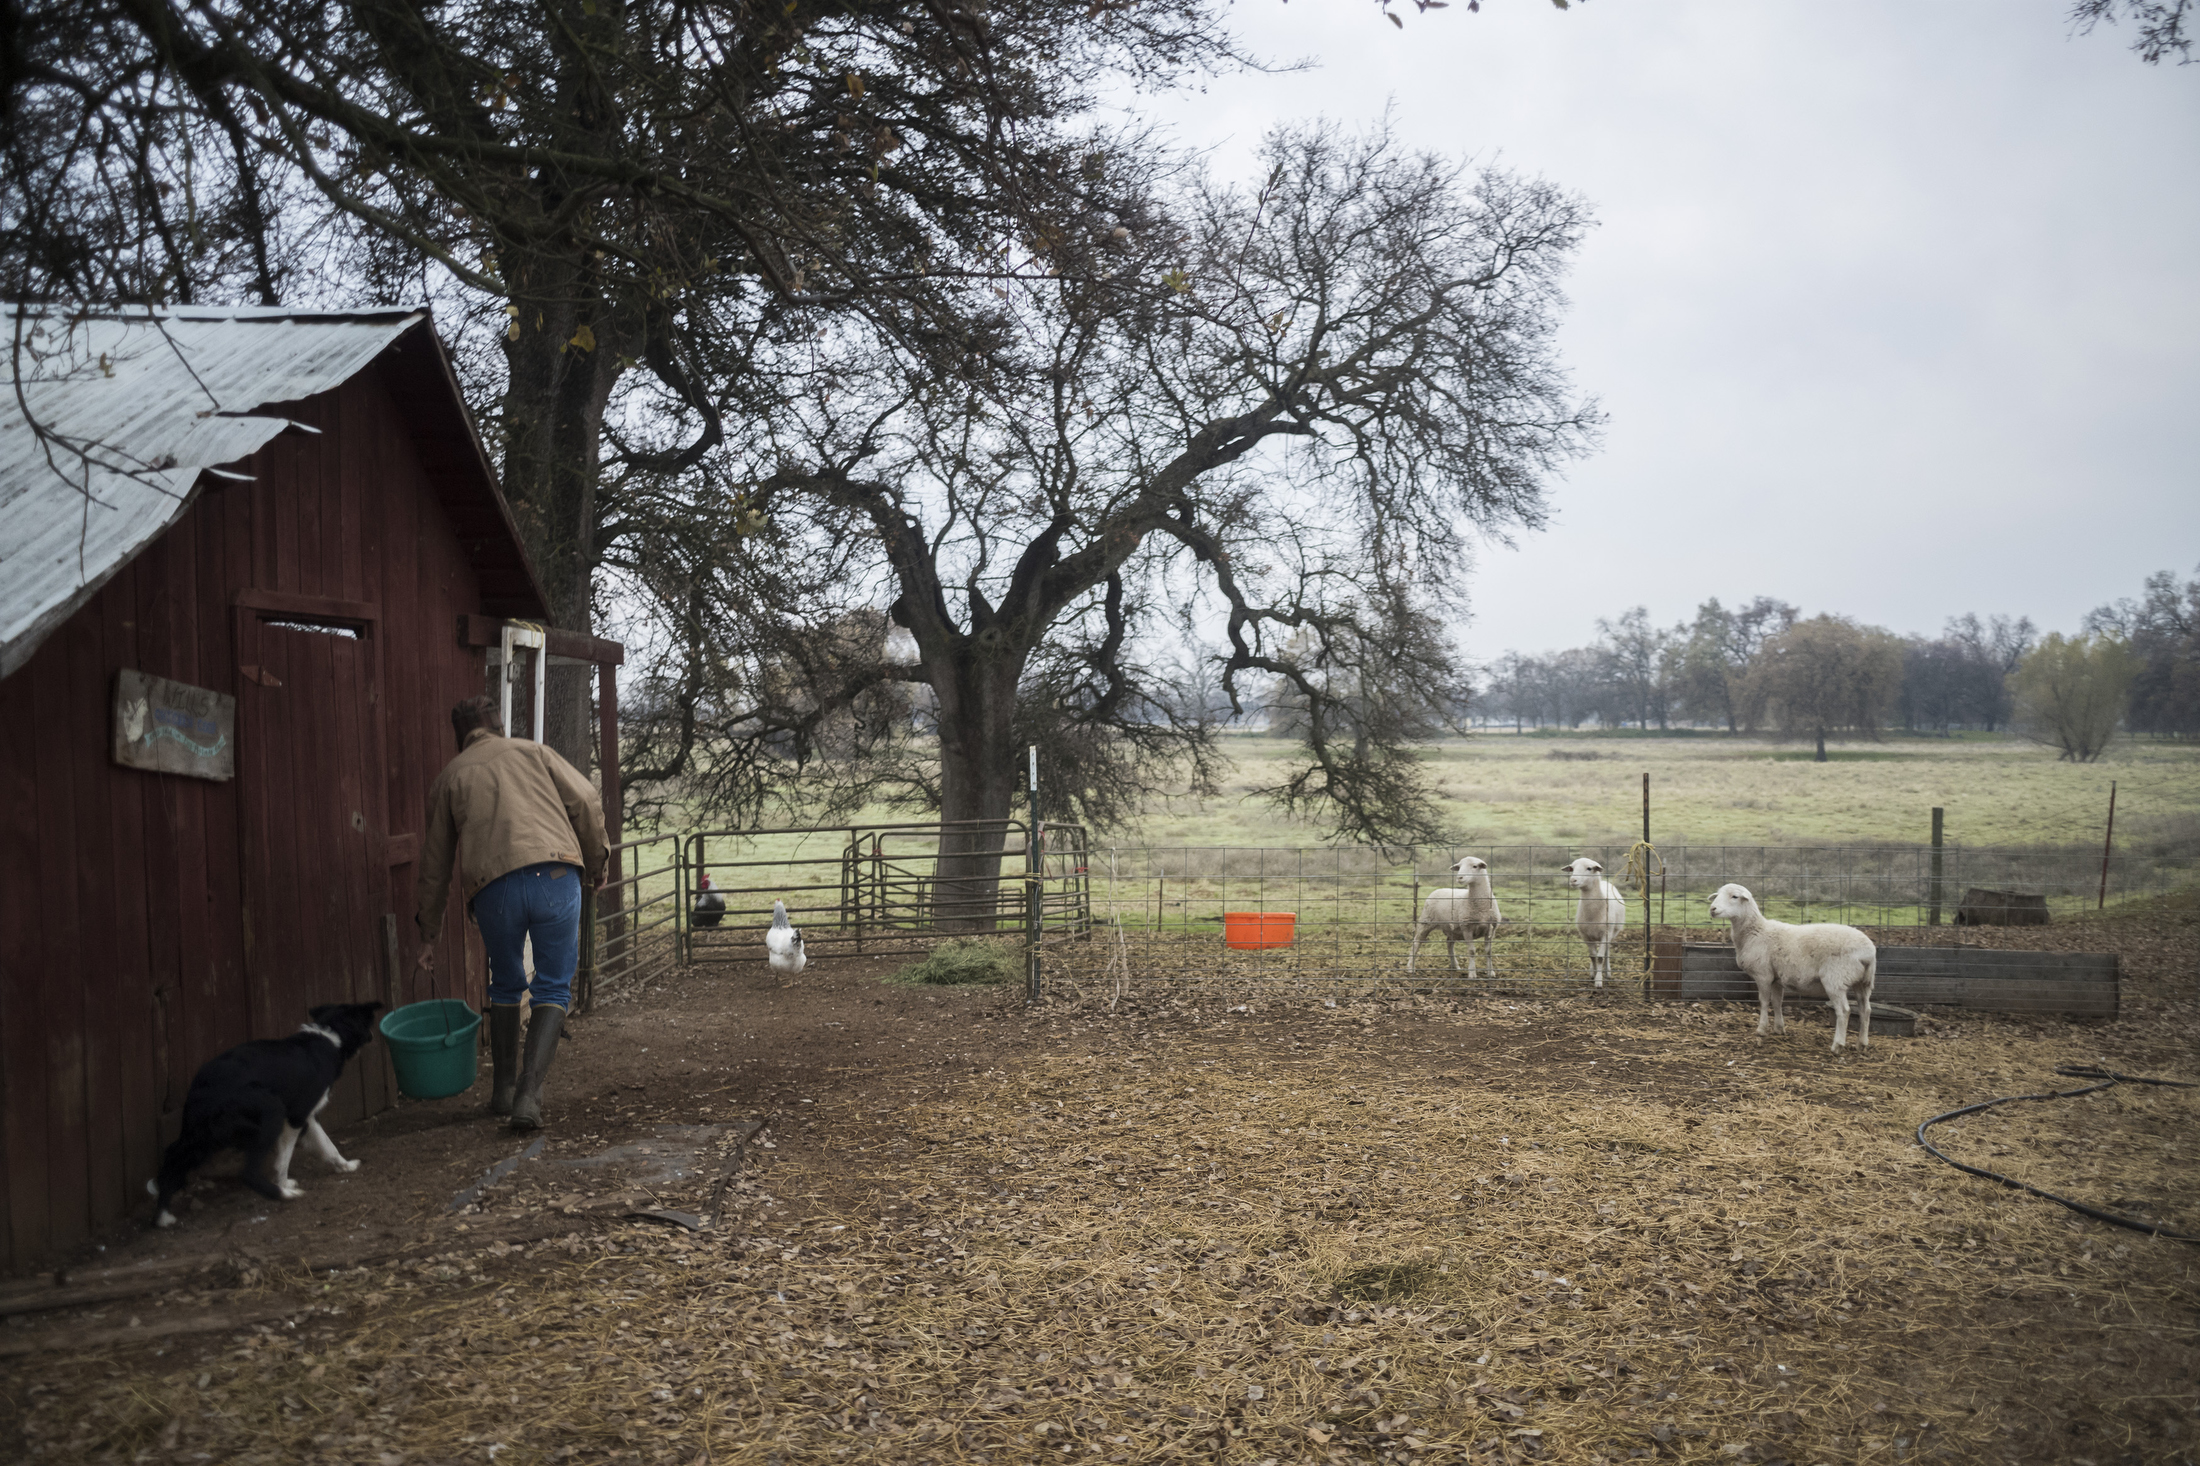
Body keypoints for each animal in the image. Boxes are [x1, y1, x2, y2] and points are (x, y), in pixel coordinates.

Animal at [1557, 849, 1628, 986]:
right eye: (1572, 868)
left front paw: (1599, 981)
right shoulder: (1585, 935)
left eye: (1589, 868)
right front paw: (1594, 974)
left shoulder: (1606, 933)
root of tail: (1605, 883)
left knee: (1607, 951)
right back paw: (1592, 971)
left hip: (1613, 932)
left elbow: (1600, 958)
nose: (1573, 880)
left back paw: (1607, 972)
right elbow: (1592, 956)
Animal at [1707, 880, 1883, 1052]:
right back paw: (1862, 1044)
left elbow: (1763, 1001)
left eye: (1735, 896)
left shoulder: (1763, 974)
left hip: (1836, 979)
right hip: (1864, 982)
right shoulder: (1776, 978)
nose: (1712, 909)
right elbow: (1777, 1002)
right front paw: (1779, 1028)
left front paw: (1761, 1029)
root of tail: (1868, 952)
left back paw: (1837, 1045)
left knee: (1844, 1011)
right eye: (1718, 895)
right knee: (1865, 1010)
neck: (1755, 932)